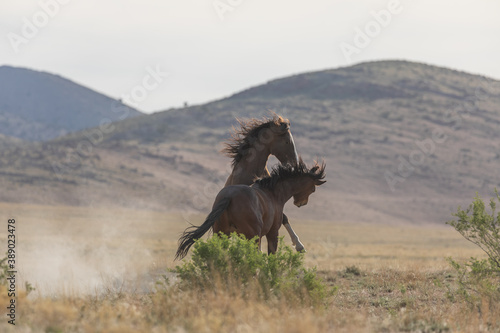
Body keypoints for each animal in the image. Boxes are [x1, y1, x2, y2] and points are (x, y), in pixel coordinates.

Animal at [174, 159, 326, 260]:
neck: (273, 191)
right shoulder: (272, 232)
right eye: (312, 189)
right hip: (252, 236)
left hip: (221, 234)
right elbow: (271, 255)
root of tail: (229, 196)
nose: (301, 203)